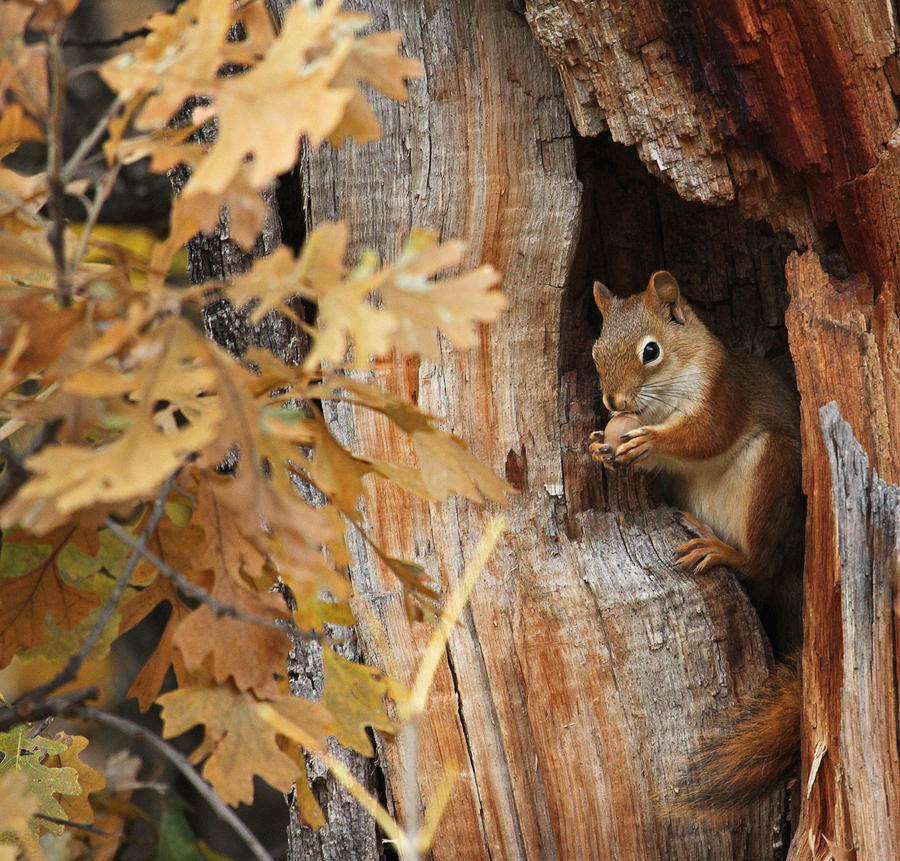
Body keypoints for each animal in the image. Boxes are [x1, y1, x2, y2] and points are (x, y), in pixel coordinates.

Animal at [592, 272, 800, 808]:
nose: (614, 403)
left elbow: (705, 436)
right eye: (596, 350)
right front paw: (600, 445)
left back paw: (722, 549)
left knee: (763, 562)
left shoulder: (725, 396)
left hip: (773, 472)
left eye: (650, 351)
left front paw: (650, 442)